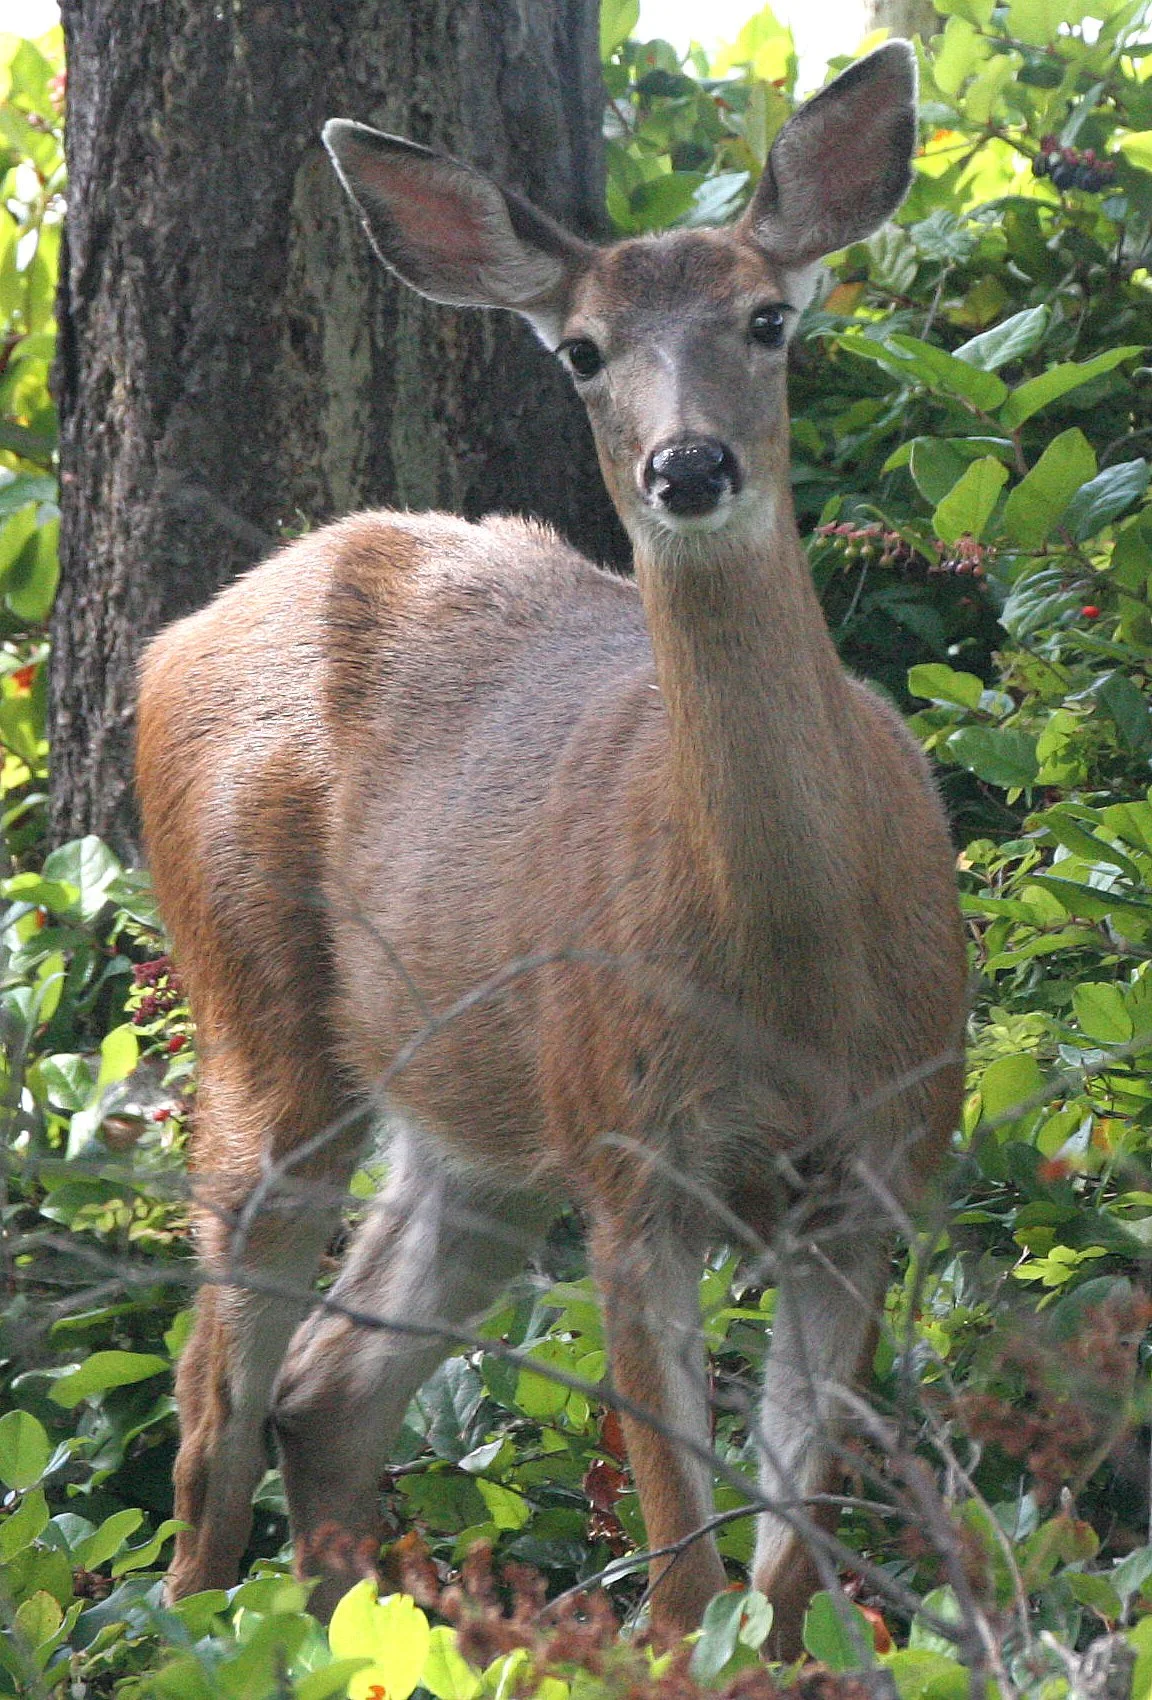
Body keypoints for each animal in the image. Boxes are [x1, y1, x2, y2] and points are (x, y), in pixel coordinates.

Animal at [136, 39, 966, 1657]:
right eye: (582, 351)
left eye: (769, 318)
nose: (688, 465)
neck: (793, 973)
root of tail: (166, 645)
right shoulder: (629, 1157)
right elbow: (687, 1574)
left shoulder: (885, 1161)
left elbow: (786, 1571)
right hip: (259, 1016)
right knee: (214, 1408)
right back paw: (192, 1635)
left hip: (479, 1120)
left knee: (328, 1391)